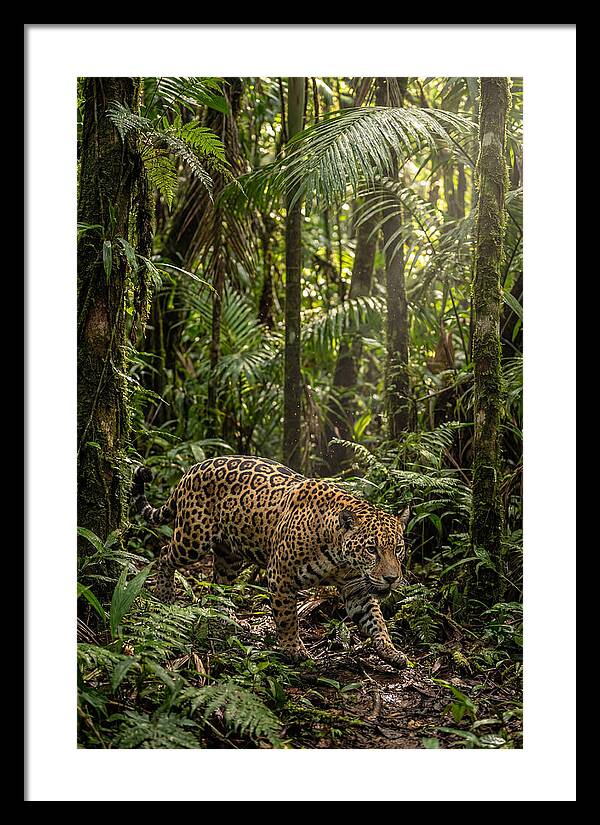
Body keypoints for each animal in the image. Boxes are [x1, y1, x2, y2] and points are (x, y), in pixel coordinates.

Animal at [132, 455, 410, 668]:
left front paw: (391, 651)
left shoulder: (356, 588)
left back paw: (225, 616)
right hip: (192, 539)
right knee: (164, 553)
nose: (392, 579)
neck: (339, 557)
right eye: (372, 549)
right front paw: (293, 650)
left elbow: (375, 619)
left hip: (229, 556)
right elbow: (287, 617)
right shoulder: (281, 577)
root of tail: (191, 469)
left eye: (397, 549)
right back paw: (165, 593)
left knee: (219, 583)